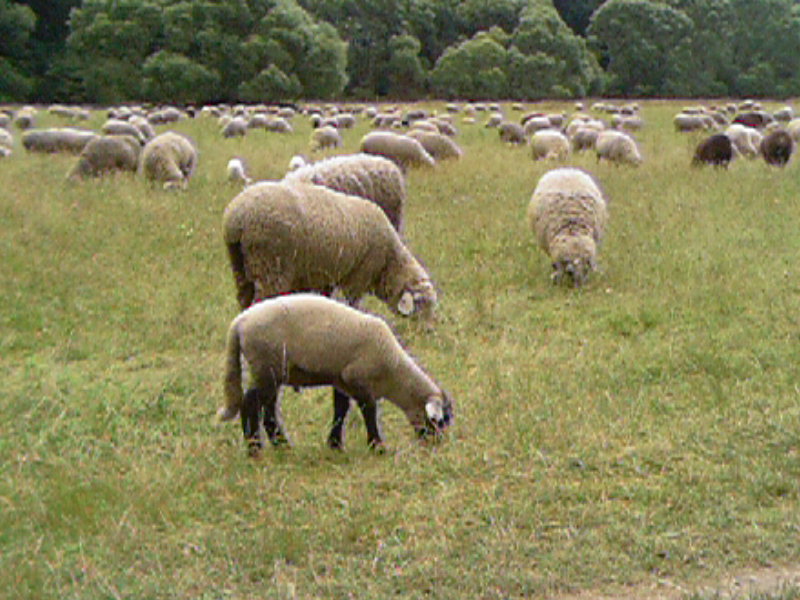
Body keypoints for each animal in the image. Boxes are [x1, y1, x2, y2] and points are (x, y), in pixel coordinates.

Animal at [219, 292, 454, 452]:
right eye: (438, 421)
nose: (437, 444)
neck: (393, 373)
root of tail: (239, 323)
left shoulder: (342, 380)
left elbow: (340, 410)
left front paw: (334, 444)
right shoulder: (358, 379)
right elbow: (368, 411)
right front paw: (377, 446)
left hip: (270, 370)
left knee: (267, 411)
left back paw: (281, 445)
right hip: (267, 366)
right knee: (250, 403)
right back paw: (255, 448)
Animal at [220, 180, 438, 316]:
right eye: (422, 305)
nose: (427, 333)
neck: (389, 262)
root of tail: (237, 218)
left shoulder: (323, 276)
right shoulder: (358, 276)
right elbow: (353, 302)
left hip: (239, 264)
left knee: (244, 298)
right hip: (271, 265)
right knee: (262, 299)